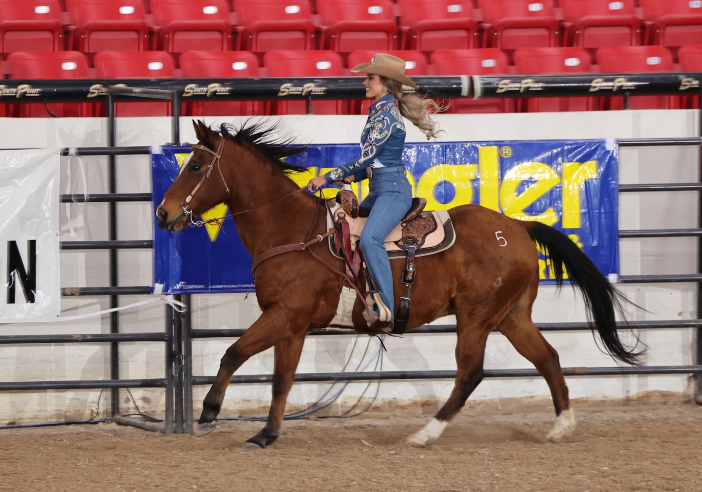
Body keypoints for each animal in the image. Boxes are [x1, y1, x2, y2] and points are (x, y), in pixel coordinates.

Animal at [157, 120, 640, 450]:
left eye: (196, 165)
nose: (163, 213)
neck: (291, 230)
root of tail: (518, 227)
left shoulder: (283, 316)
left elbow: (234, 352)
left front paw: (209, 413)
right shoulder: (291, 326)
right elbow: (281, 380)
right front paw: (266, 434)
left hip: (477, 317)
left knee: (471, 373)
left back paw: (425, 434)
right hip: (512, 316)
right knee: (548, 358)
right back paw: (561, 425)